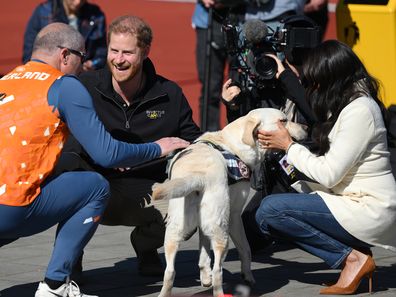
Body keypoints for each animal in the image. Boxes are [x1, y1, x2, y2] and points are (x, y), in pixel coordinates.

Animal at [152, 107, 306, 294]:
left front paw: (205, 277)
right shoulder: (234, 215)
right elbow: (245, 248)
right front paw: (248, 276)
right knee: (218, 271)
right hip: (221, 230)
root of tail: (197, 176)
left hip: (175, 231)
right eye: (283, 121)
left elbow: (203, 252)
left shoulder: (204, 225)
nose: (306, 127)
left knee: (170, 272)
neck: (232, 144)